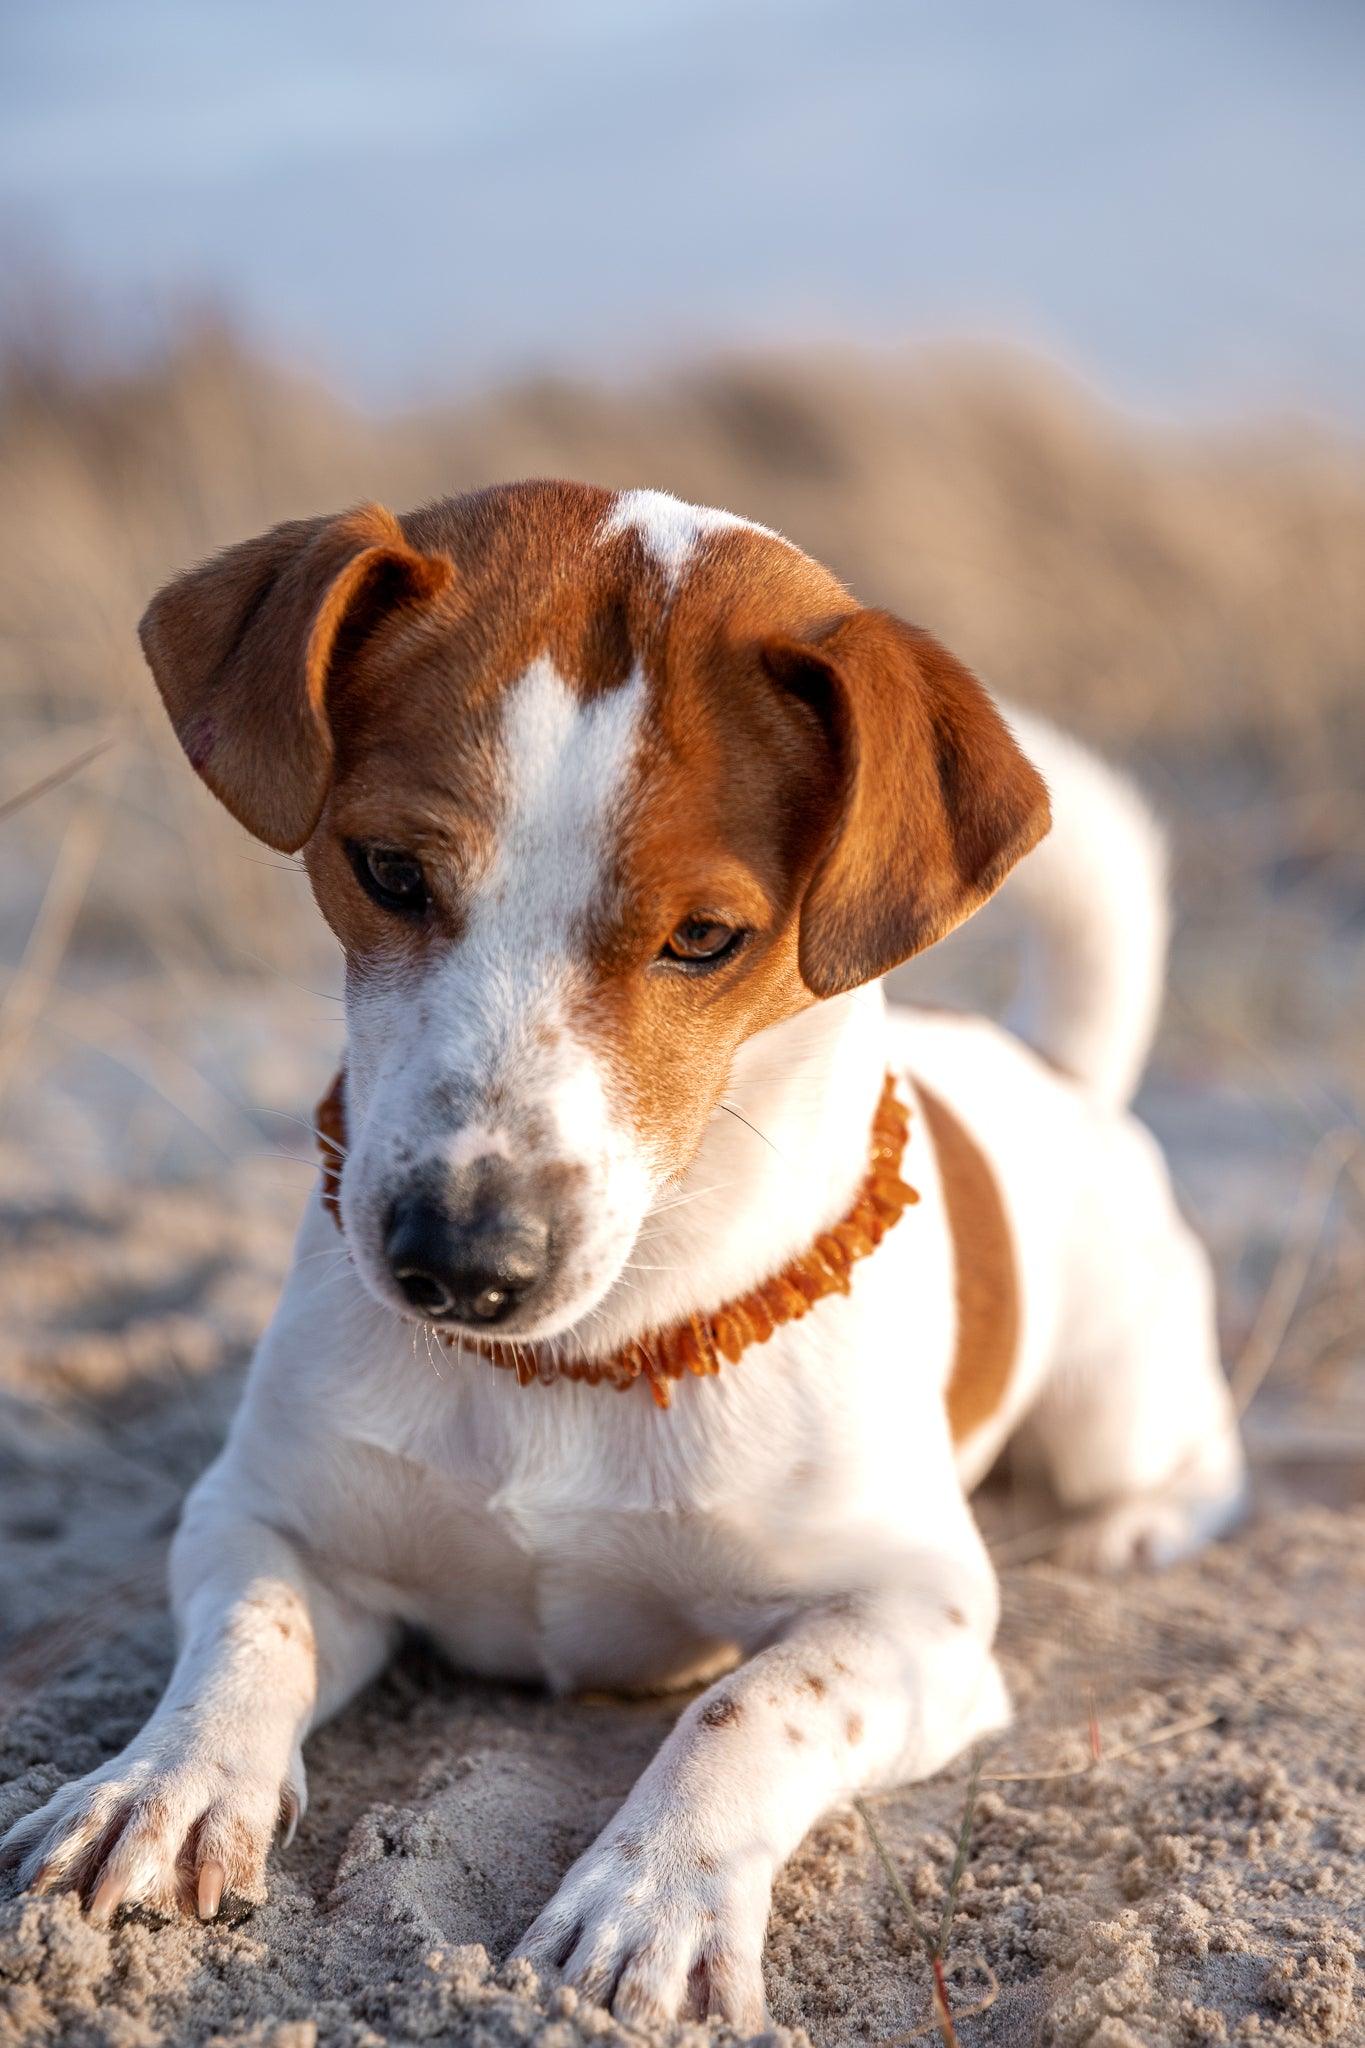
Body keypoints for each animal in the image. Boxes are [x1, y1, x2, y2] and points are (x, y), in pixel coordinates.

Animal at [0, 483, 1244, 2031]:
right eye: (388, 870)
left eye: (705, 937)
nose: (457, 1262)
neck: (571, 1364)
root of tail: (1051, 1063)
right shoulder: (263, 1516)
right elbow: (249, 1636)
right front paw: (164, 1784)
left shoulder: (920, 1615)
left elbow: (746, 1704)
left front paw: (655, 1893)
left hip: (1111, 1409)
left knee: (1193, 1454)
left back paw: (1140, 1525)